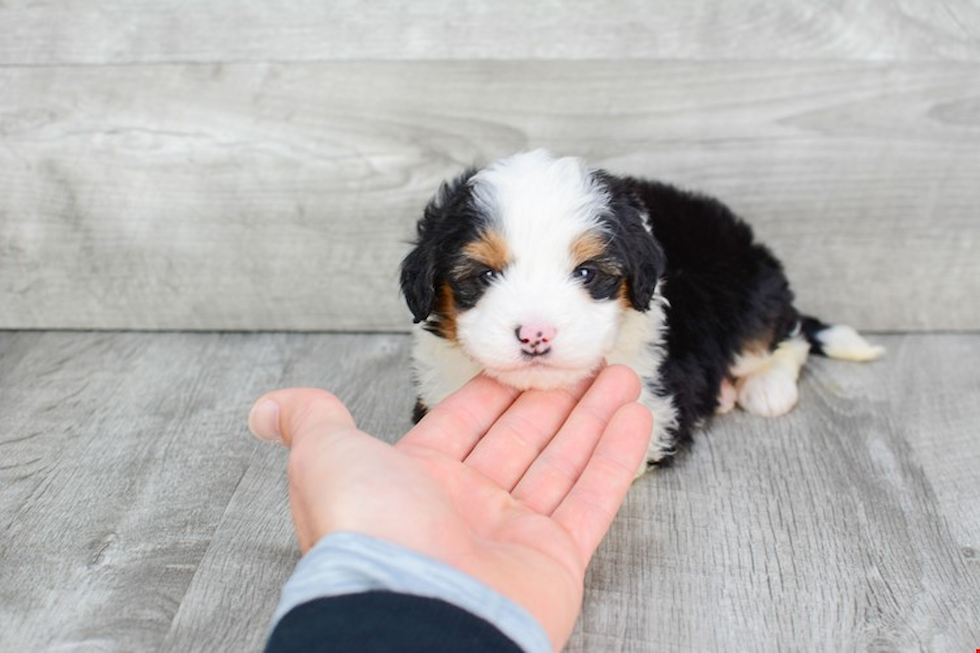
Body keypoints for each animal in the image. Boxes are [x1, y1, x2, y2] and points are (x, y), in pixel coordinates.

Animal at [398, 152, 888, 468]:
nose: (536, 335)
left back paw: (766, 388)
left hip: (746, 295)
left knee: (785, 335)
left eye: (587, 273)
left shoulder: (655, 404)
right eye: (483, 275)